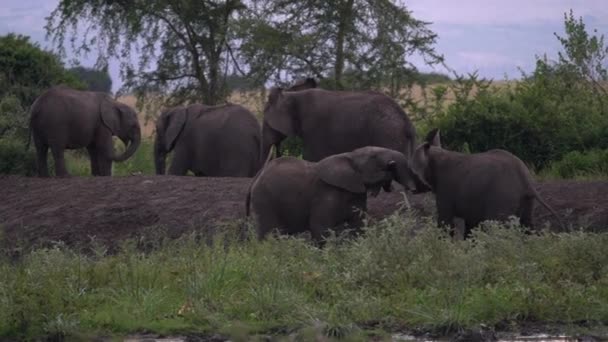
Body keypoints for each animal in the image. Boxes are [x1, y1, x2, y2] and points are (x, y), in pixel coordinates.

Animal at [245, 147, 420, 243]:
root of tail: (255, 179)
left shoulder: (356, 194)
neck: (349, 156)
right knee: (268, 234)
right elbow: (320, 228)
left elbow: (358, 226)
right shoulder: (325, 194)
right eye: (374, 157)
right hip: (264, 200)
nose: (412, 189)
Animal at [258, 77, 416, 163]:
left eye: (267, 123)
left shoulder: (314, 127)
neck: (293, 96)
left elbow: (312, 157)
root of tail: (407, 122)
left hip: (388, 134)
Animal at [410, 128, 564, 238]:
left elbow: (445, 222)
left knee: (497, 229)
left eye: (412, 172)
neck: (435, 153)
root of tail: (527, 182)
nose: (412, 190)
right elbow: (470, 226)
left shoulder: (445, 189)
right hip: (526, 201)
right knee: (527, 227)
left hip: (502, 197)